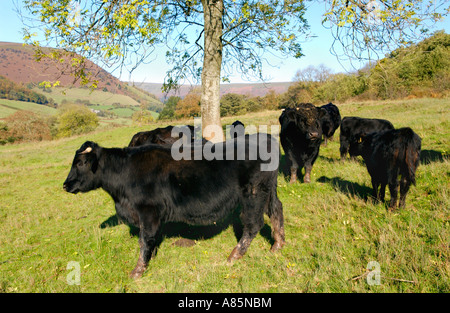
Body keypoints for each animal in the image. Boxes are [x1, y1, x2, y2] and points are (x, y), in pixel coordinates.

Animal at [63, 135, 284, 278]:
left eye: (81, 163)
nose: (65, 185)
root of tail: (265, 139)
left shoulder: (147, 212)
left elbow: (144, 240)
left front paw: (138, 270)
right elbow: (150, 239)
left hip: (253, 194)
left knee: (253, 225)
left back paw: (234, 255)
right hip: (268, 192)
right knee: (277, 211)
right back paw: (277, 245)